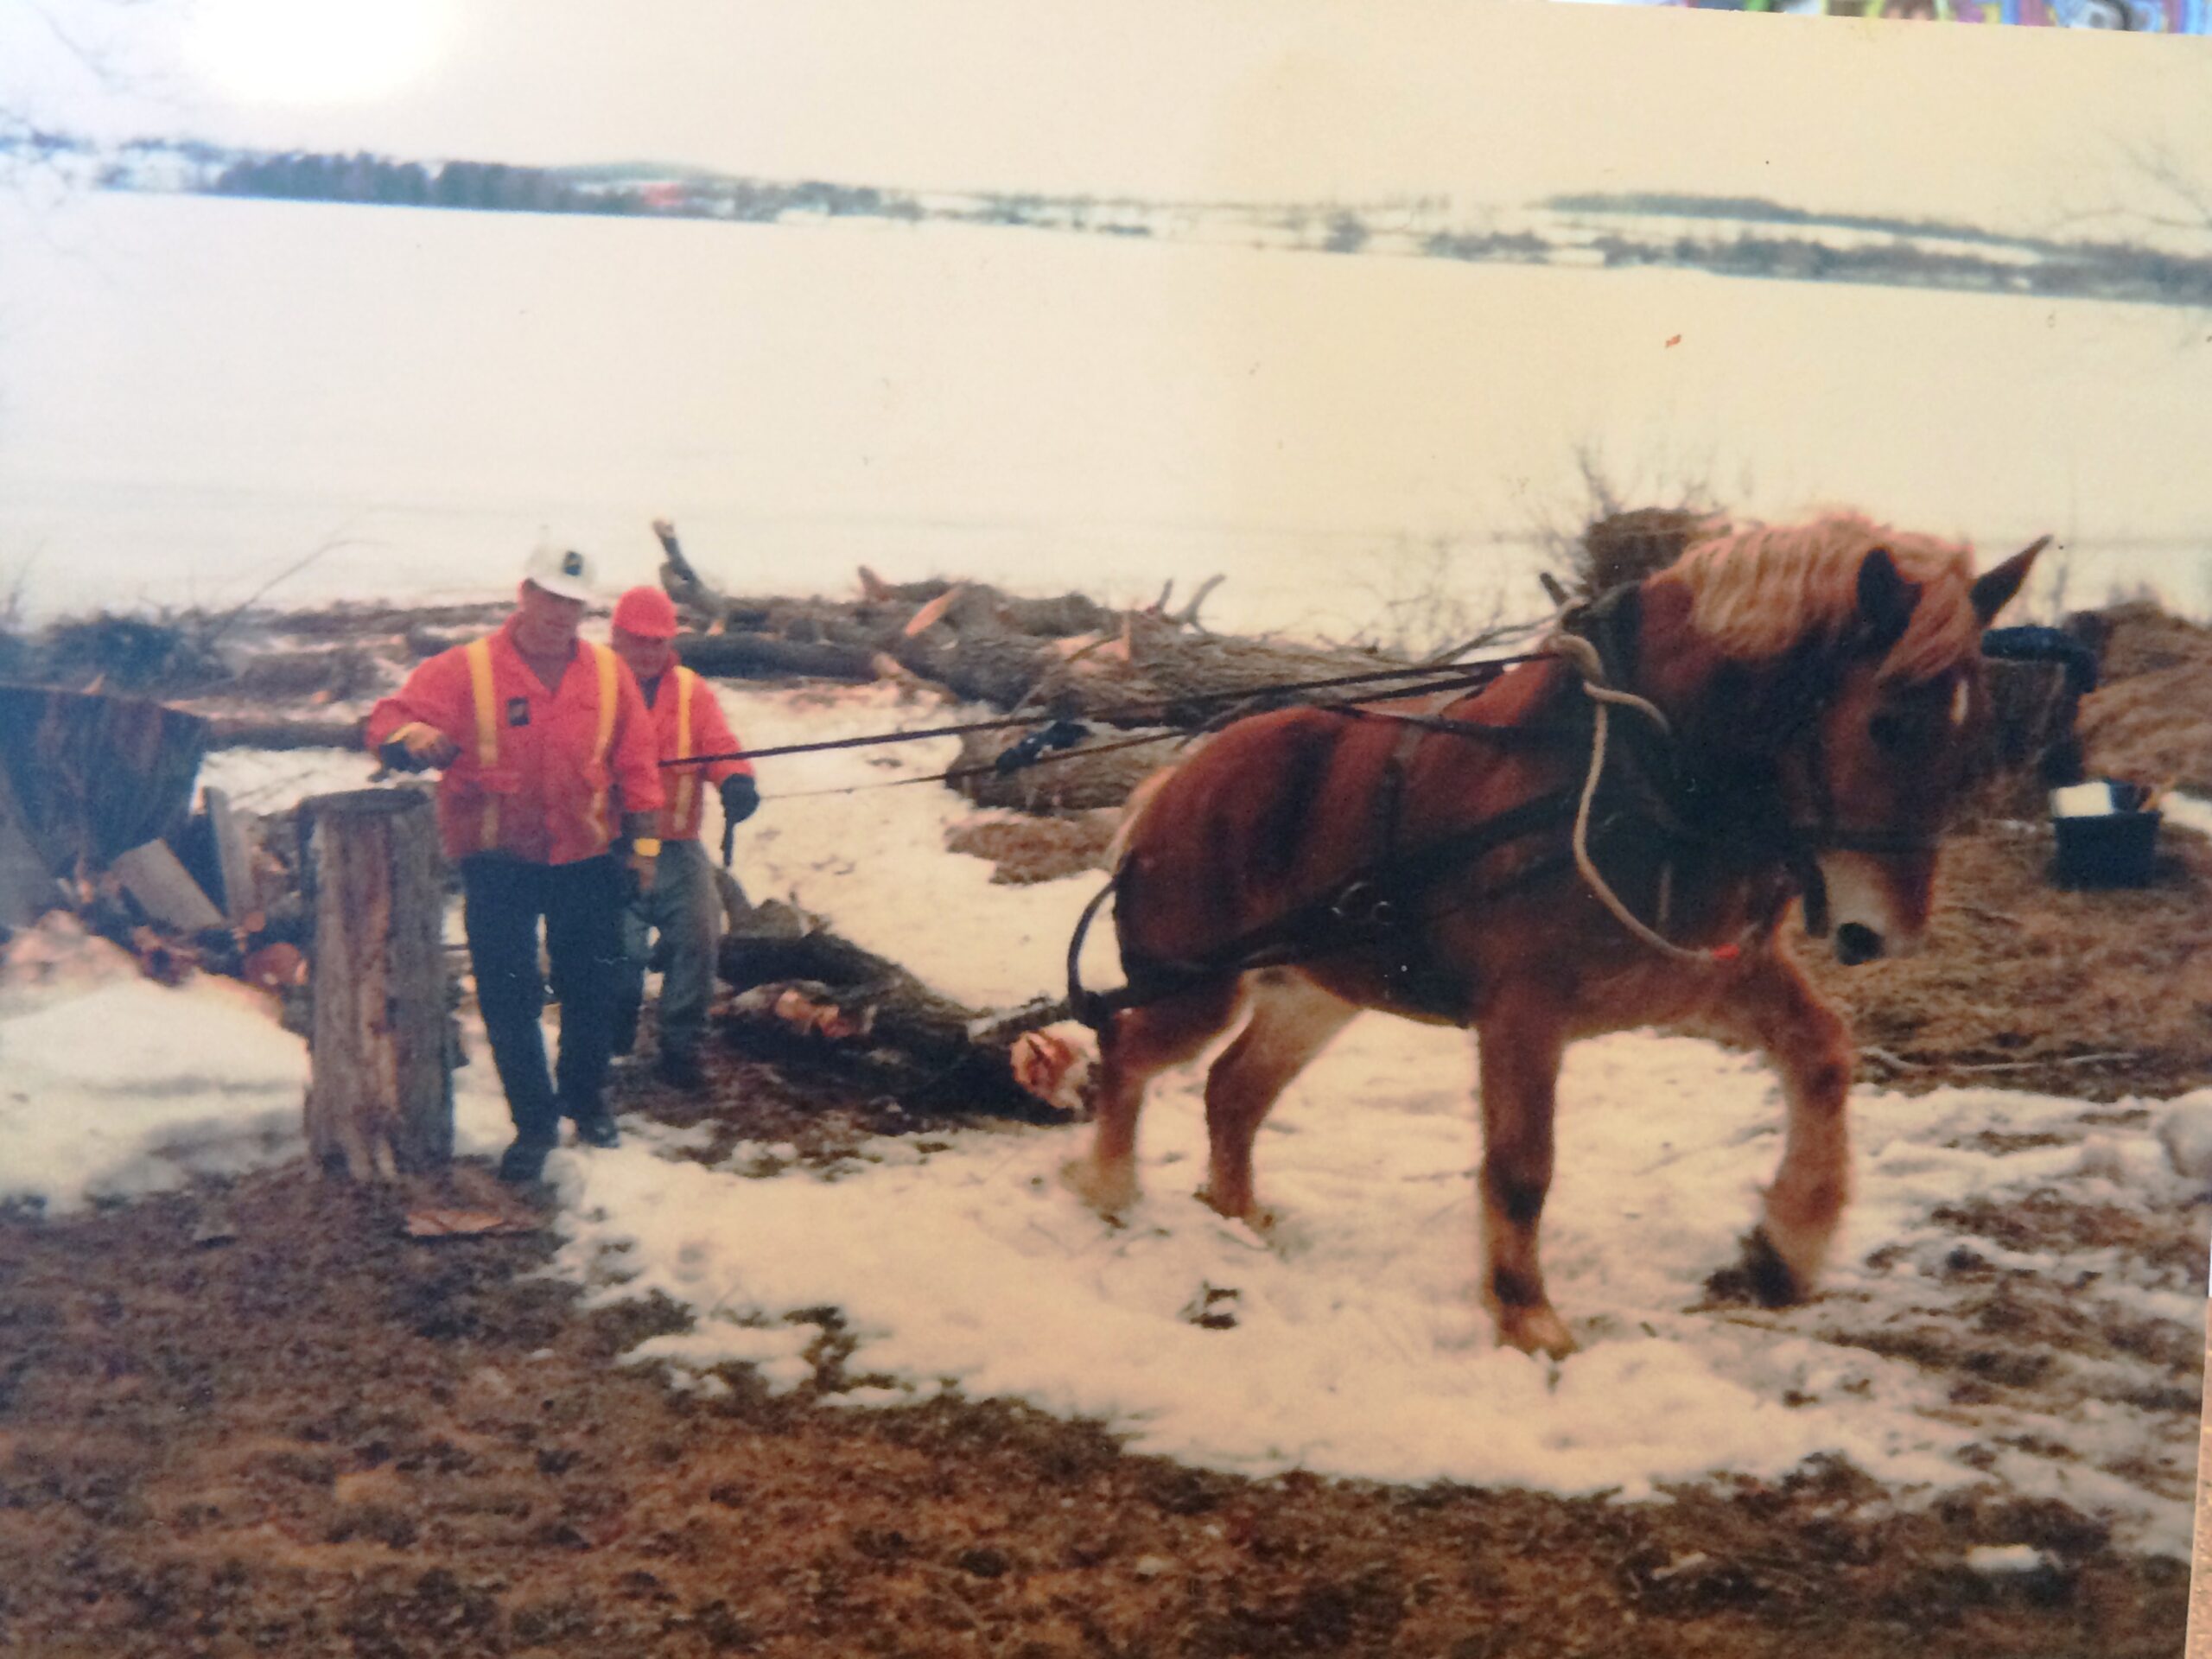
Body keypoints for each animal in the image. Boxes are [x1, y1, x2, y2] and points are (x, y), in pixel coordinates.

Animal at [1061, 514, 2043, 1359]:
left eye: (1978, 735)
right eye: (1886, 722)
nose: (1885, 935)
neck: (1631, 768)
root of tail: (1177, 782)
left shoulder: (1711, 976)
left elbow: (1824, 1061)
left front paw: (1784, 1247)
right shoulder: (1524, 1008)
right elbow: (1522, 1164)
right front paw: (1526, 1315)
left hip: (1317, 990)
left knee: (1232, 1089)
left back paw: (1235, 1214)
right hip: (1195, 985)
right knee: (1128, 1053)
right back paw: (1109, 1191)